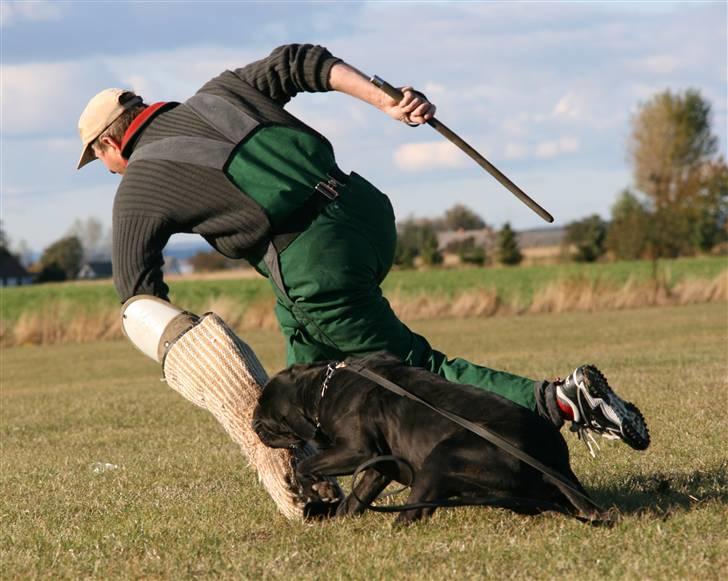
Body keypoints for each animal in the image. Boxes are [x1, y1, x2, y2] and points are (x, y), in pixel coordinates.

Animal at [252, 352, 604, 524]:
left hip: (441, 457)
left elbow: (306, 465)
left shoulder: (356, 450)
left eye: (267, 421)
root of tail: (550, 462)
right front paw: (337, 519)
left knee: (414, 514)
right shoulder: (378, 467)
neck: (321, 387)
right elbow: (357, 498)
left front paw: (316, 490)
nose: (253, 426)